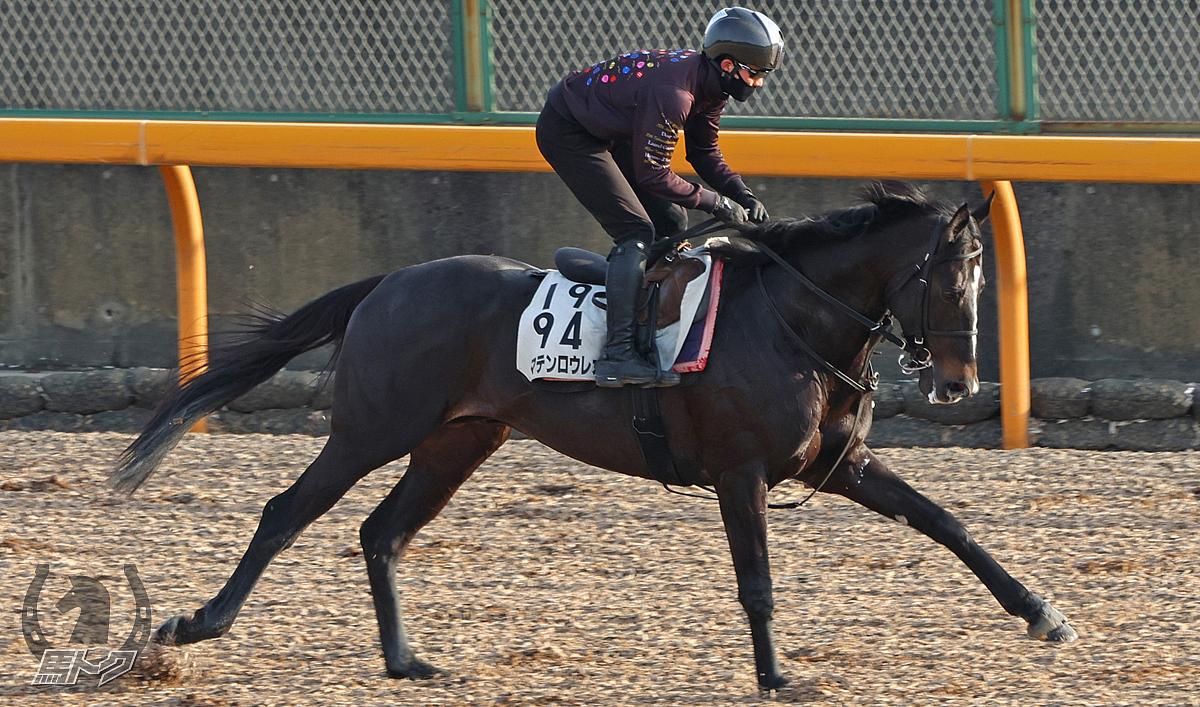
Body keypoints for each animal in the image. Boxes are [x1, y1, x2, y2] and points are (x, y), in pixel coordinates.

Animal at [110, 180, 1080, 691]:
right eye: (946, 280)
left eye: (980, 282)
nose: (958, 384)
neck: (791, 320)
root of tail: (390, 281)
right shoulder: (740, 472)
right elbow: (758, 583)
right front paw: (776, 675)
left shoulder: (842, 464)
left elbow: (948, 523)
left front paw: (1042, 612)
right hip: (374, 428)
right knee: (286, 510)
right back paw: (197, 623)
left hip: (460, 440)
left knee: (380, 532)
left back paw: (407, 659)